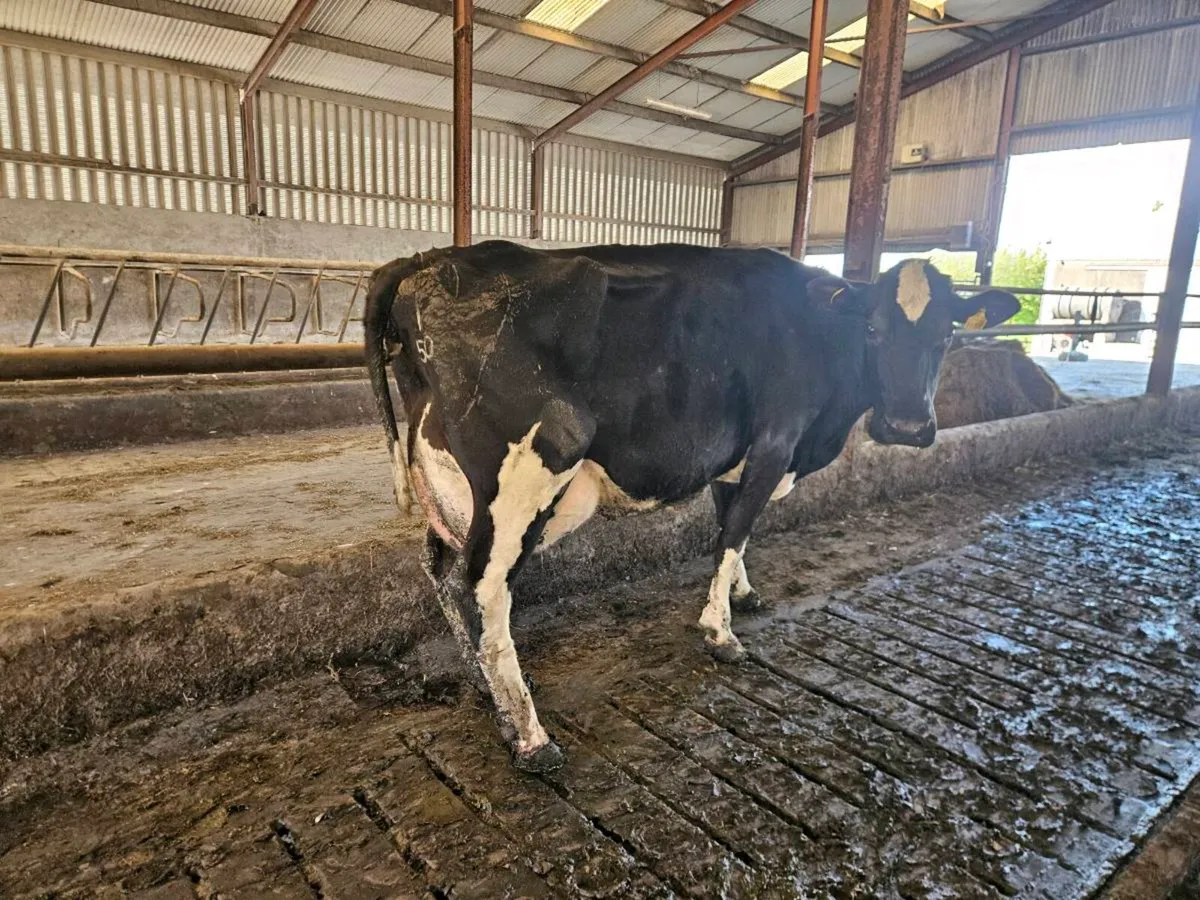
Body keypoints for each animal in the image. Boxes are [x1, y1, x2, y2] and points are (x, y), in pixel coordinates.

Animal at [364, 240, 1019, 772]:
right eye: (874, 331)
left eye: (947, 336)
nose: (907, 426)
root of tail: (426, 261)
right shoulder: (774, 441)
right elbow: (736, 530)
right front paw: (720, 632)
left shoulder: (734, 457)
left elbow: (732, 527)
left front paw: (743, 595)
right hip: (530, 466)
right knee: (483, 585)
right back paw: (529, 736)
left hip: (447, 481)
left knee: (440, 571)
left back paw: (484, 686)